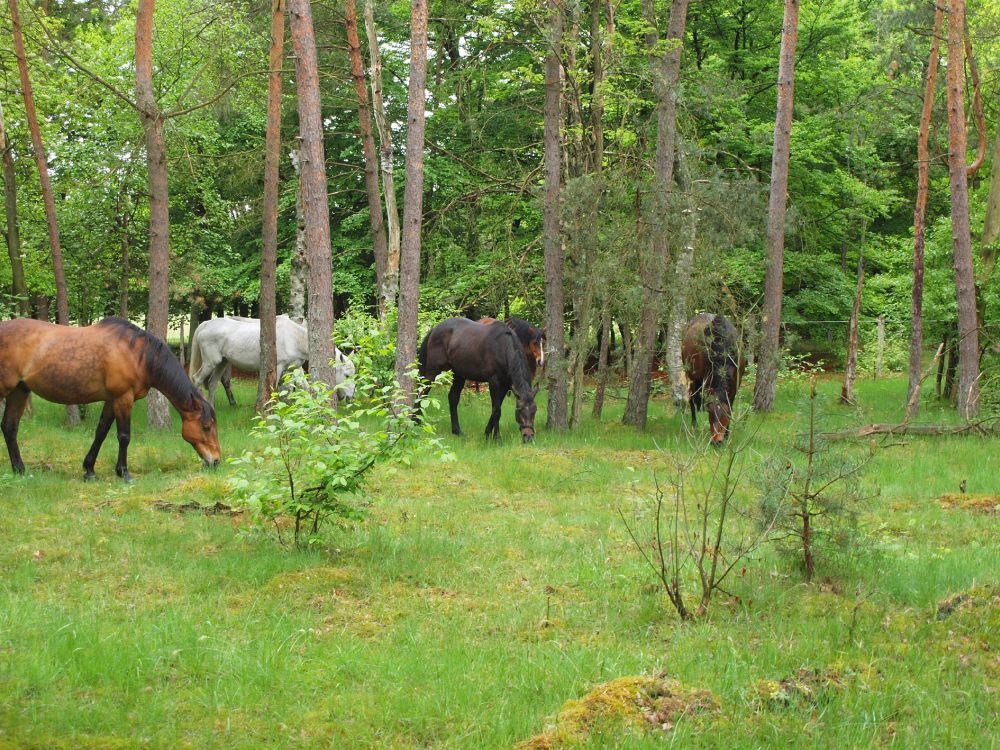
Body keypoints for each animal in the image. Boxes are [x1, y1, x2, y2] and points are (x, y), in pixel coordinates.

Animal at [0, 318, 221, 482]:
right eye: (206, 427)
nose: (216, 461)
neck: (139, 356)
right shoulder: (124, 398)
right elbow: (124, 436)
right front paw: (124, 472)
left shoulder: (111, 400)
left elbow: (101, 432)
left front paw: (89, 470)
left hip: (19, 390)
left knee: (10, 427)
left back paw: (20, 470)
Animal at [189, 318, 358, 412]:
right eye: (346, 375)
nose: (350, 398)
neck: (294, 338)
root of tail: (206, 324)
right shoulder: (278, 367)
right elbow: (274, 388)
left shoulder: (295, 368)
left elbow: (301, 387)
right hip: (210, 363)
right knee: (197, 380)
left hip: (221, 363)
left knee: (212, 383)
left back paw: (212, 409)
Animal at [416, 316, 540, 444]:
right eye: (519, 410)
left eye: (535, 410)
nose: (528, 436)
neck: (503, 347)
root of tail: (435, 329)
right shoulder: (494, 382)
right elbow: (497, 410)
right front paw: (497, 438)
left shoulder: (505, 386)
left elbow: (496, 409)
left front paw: (487, 433)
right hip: (433, 371)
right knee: (422, 392)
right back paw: (417, 422)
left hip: (459, 375)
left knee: (453, 398)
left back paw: (457, 431)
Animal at [680, 312, 744, 446]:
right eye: (710, 413)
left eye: (726, 415)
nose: (716, 441)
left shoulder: (735, 384)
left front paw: (727, 434)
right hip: (692, 376)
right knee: (692, 397)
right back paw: (694, 424)